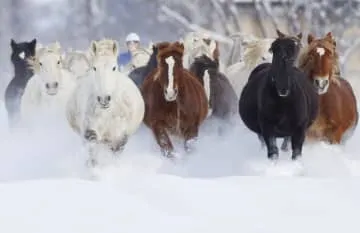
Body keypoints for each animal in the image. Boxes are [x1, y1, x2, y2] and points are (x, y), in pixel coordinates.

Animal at [67, 38, 146, 166]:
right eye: (94, 68)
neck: (107, 113)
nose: (104, 99)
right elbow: (92, 151)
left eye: (114, 67)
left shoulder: (119, 137)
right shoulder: (89, 129)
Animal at [239, 30, 318, 160]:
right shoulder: (267, 128)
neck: (283, 101)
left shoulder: (299, 129)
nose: (283, 88)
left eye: (296, 49)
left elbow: (296, 153)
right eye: (272, 49)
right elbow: (273, 152)